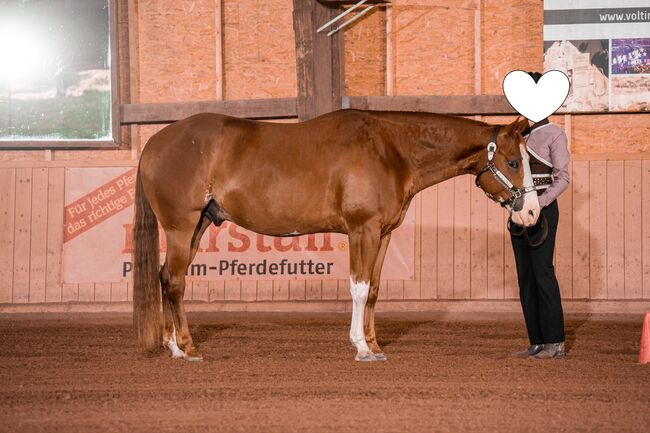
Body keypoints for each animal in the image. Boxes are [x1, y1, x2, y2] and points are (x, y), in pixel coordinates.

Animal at [132, 109, 536, 362]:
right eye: (514, 162)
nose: (531, 212)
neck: (390, 150)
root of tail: (153, 144)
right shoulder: (362, 229)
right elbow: (358, 287)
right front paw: (361, 348)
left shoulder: (383, 234)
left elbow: (373, 290)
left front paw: (374, 345)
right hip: (182, 227)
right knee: (175, 282)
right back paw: (187, 348)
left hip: (199, 225)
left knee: (166, 277)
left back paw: (173, 346)